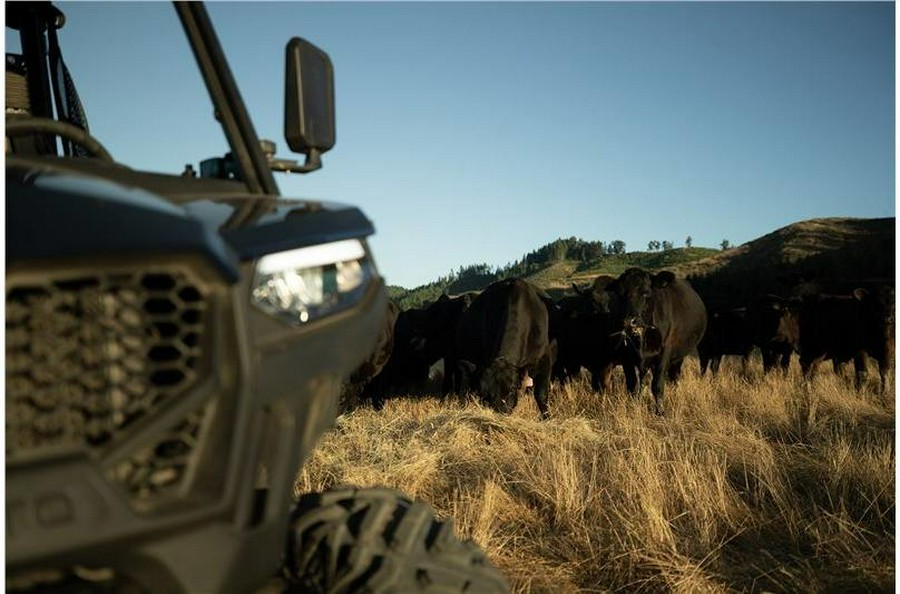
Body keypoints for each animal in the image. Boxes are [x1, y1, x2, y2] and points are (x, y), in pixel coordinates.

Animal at [450, 278, 556, 416]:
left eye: (511, 389)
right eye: (485, 393)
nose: (501, 411)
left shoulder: (545, 360)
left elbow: (541, 395)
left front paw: (547, 417)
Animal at [592, 268, 712, 412]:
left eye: (646, 293)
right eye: (619, 294)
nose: (629, 322)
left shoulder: (664, 353)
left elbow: (657, 384)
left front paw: (660, 411)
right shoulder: (626, 357)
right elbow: (632, 385)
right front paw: (634, 407)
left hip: (679, 356)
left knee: (674, 376)